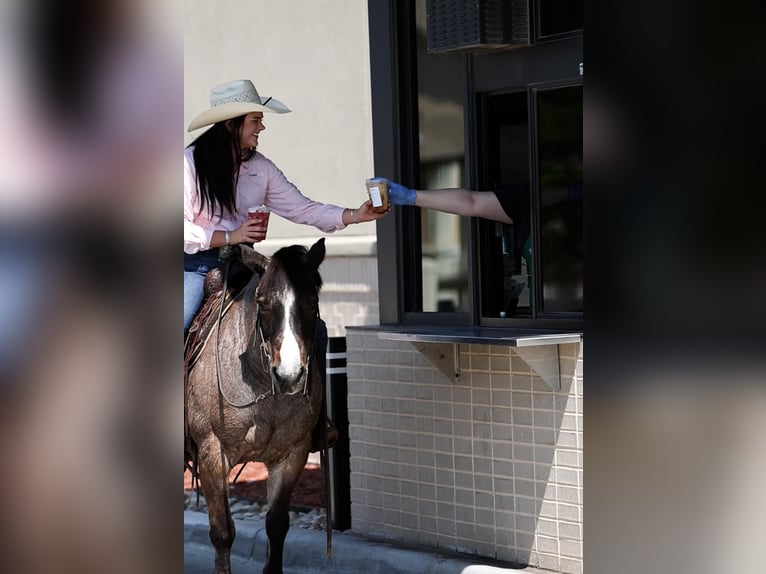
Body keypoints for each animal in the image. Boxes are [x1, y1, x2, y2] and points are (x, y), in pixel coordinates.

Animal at [188, 238, 328, 574]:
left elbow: (277, 525)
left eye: (312, 301)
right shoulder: (212, 453)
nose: (289, 375)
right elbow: (222, 531)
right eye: (262, 303)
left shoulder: (293, 454)